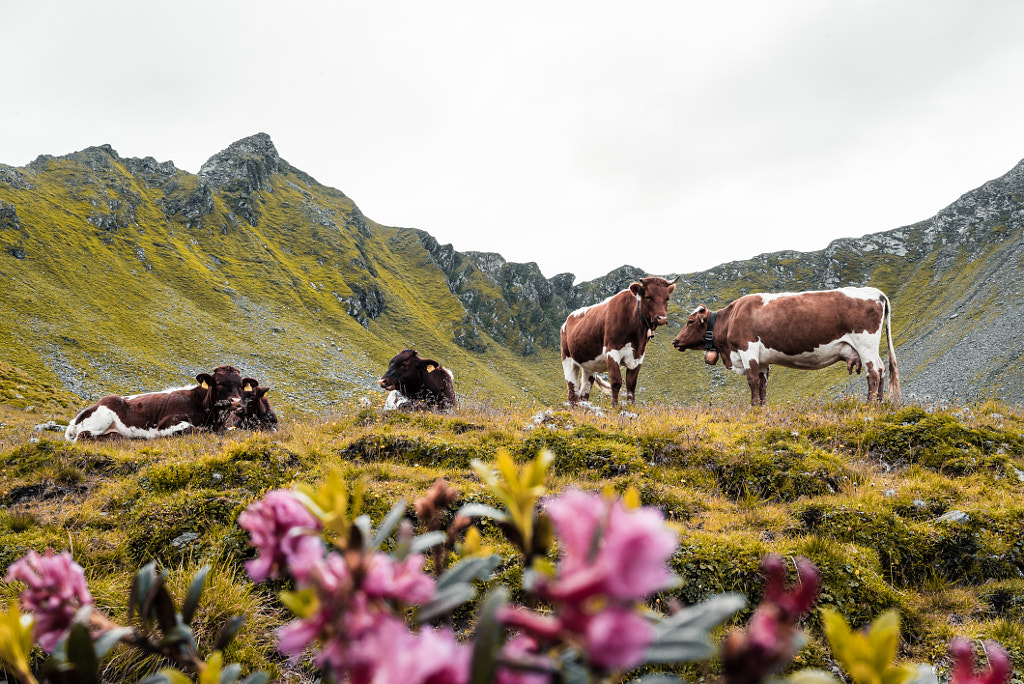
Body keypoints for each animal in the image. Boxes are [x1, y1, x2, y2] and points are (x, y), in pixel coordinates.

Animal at [64, 366, 251, 440]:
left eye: (240, 385)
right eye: (219, 383)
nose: (235, 400)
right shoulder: (166, 423)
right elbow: (194, 429)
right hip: (103, 417)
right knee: (83, 435)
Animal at [561, 276, 679, 409]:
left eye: (667, 298)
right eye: (648, 296)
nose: (662, 318)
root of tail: (567, 321)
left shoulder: (638, 356)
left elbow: (631, 384)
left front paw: (631, 407)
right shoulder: (611, 351)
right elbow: (616, 381)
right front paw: (614, 407)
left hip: (589, 365)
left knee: (584, 393)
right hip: (568, 360)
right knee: (572, 392)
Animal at [671, 284, 897, 405]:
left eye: (690, 322)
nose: (675, 341)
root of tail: (876, 293)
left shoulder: (747, 349)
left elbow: (752, 381)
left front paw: (753, 408)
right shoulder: (762, 360)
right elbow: (762, 384)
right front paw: (761, 408)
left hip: (865, 344)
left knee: (873, 373)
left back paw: (869, 406)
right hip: (869, 348)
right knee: (882, 369)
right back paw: (879, 405)